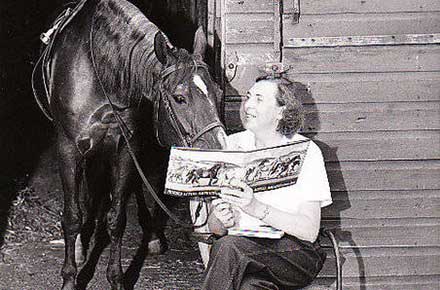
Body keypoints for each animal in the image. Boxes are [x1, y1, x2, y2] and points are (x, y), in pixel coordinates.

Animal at [41, 1, 227, 288]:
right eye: (179, 98)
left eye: (218, 93)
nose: (219, 154)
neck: (101, 70)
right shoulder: (69, 149)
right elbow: (71, 217)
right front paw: (70, 277)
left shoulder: (126, 147)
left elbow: (117, 218)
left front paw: (116, 278)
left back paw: (151, 235)